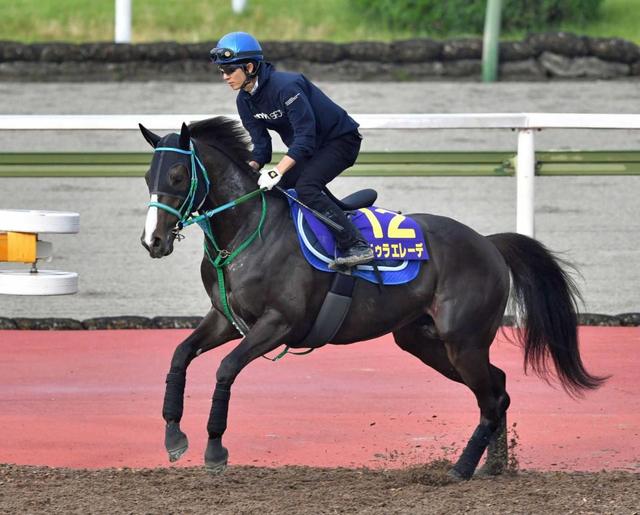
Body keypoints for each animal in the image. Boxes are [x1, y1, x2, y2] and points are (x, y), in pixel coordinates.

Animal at [139, 116, 606, 479]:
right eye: (147, 178)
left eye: (177, 177)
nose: (153, 241)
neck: (247, 230)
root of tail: (488, 244)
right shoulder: (225, 318)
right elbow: (180, 355)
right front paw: (174, 434)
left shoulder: (279, 322)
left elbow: (226, 368)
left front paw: (215, 449)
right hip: (424, 341)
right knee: (500, 388)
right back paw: (494, 466)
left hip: (463, 341)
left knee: (491, 399)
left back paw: (460, 469)